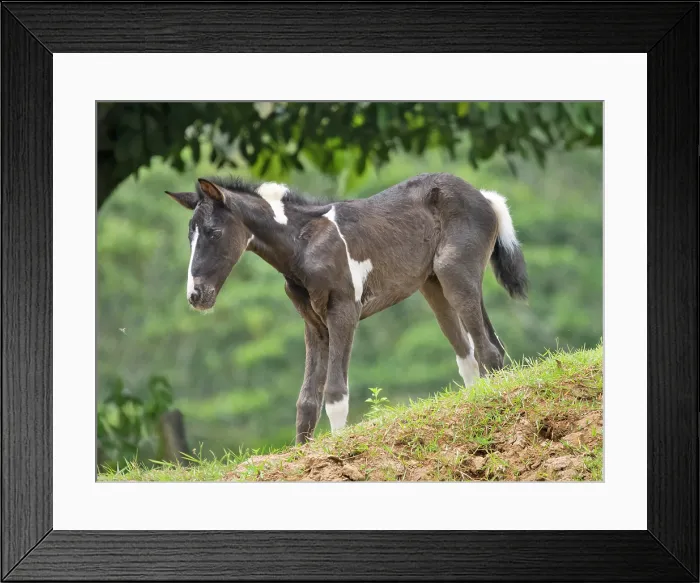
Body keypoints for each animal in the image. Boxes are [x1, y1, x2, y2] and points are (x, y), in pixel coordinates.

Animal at [165, 172, 528, 445]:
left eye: (213, 232)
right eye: (189, 237)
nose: (196, 295)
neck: (303, 243)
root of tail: (484, 196)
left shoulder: (344, 313)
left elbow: (335, 391)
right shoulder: (314, 324)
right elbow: (307, 400)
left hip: (454, 272)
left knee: (486, 350)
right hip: (434, 284)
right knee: (474, 352)